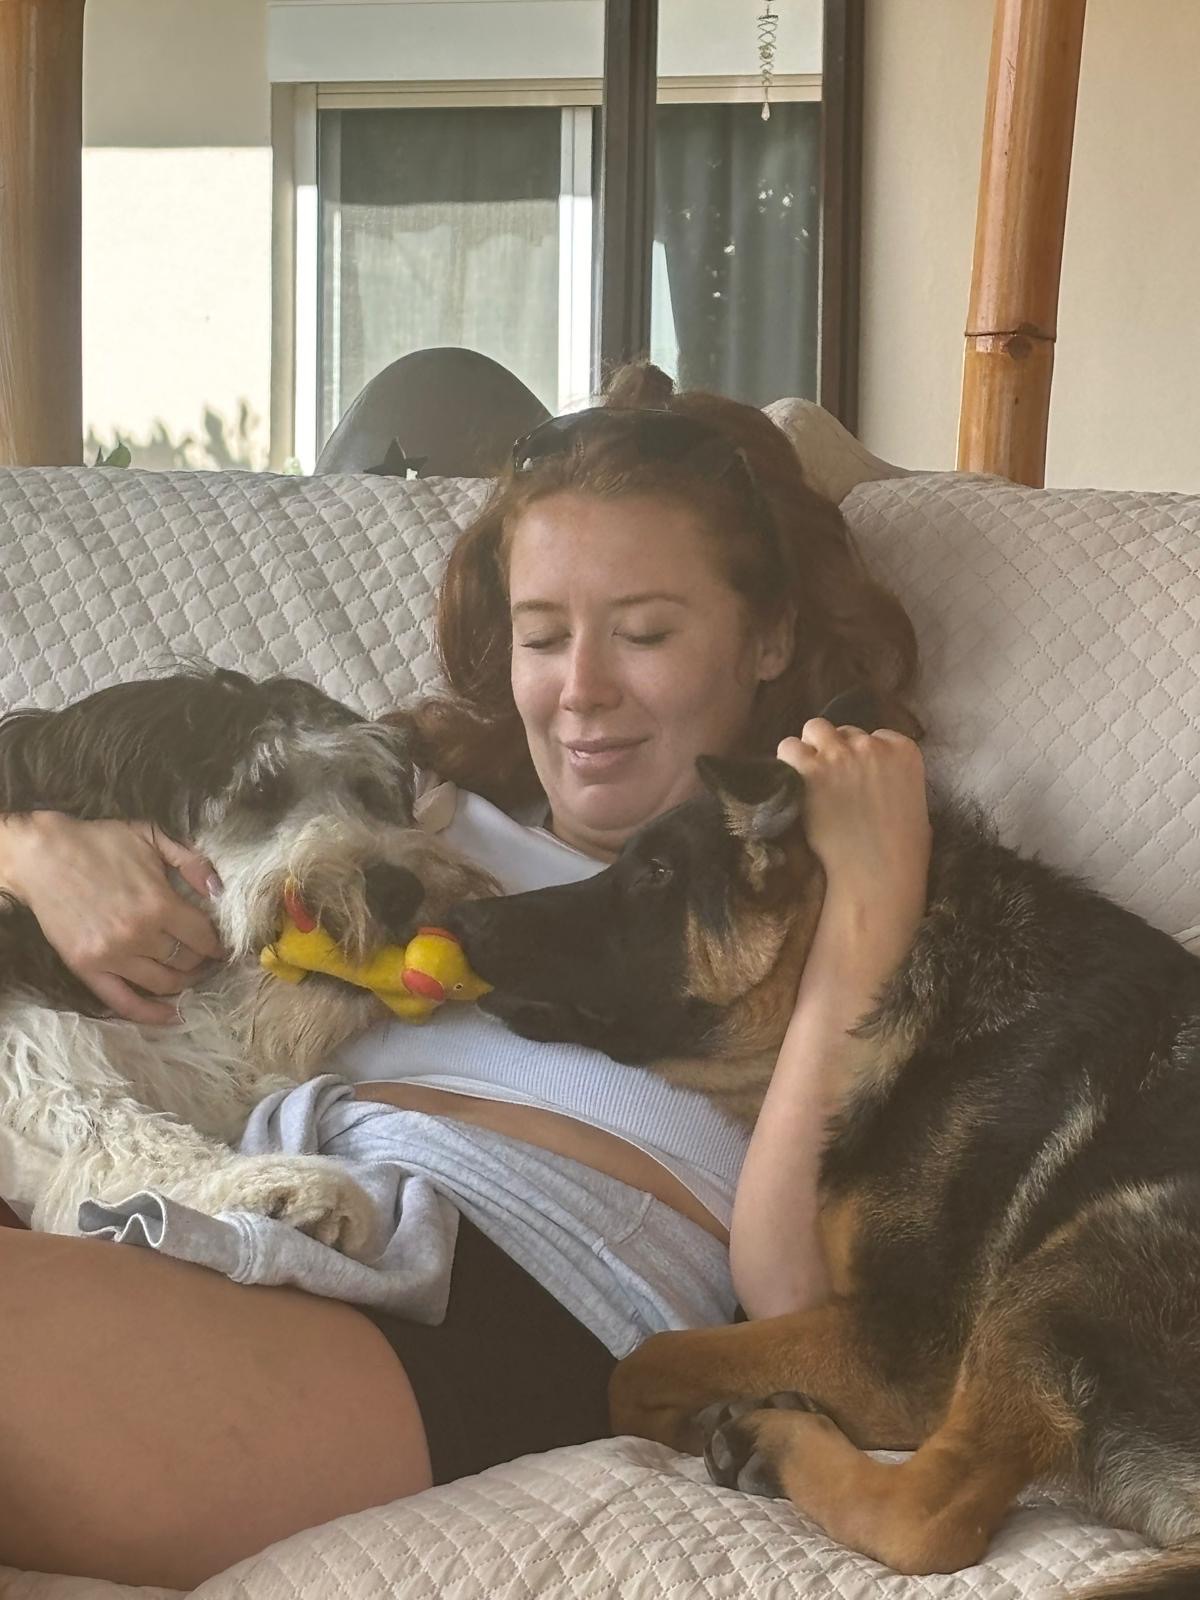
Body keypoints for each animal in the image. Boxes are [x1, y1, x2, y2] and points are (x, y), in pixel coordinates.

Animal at [0, 668, 495, 1250]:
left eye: (368, 792)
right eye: (262, 792)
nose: (399, 889)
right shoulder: (34, 1064)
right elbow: (124, 1136)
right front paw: (273, 1186)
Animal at [450, 701, 1200, 1596]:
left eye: (655, 874)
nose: (460, 918)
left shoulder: (904, 1346)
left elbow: (643, 1366)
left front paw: (701, 1413)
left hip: (1078, 1261)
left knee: (928, 1518)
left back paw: (775, 1445)